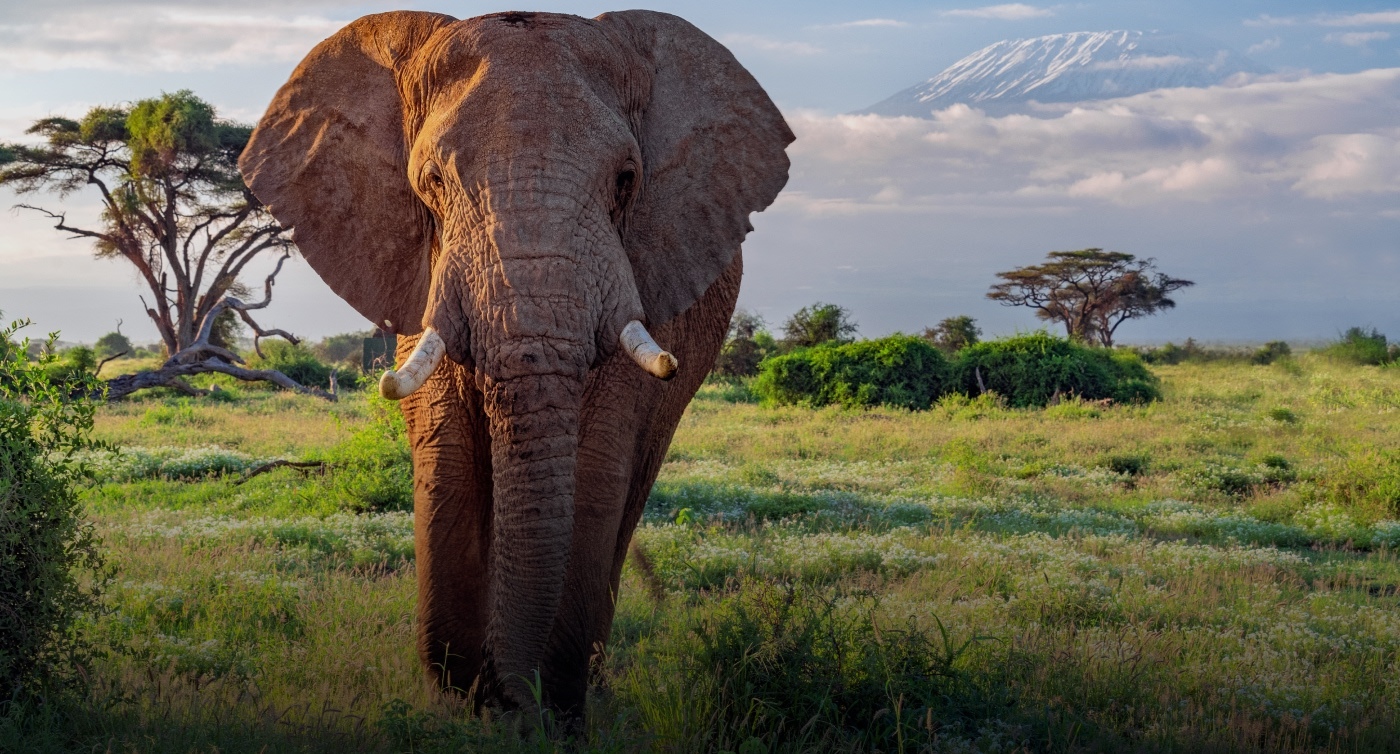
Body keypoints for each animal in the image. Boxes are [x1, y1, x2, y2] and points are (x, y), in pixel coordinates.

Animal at [238, 10, 793, 716]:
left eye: (626, 181)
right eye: (432, 182)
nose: (511, 697)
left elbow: (595, 464)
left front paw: (547, 708)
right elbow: (446, 449)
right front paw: (460, 703)